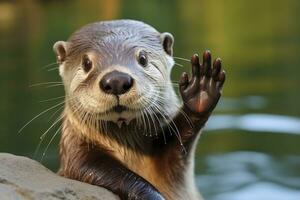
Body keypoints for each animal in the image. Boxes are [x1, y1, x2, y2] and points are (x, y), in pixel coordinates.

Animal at [53, 19, 225, 200]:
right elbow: (101, 171)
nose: (116, 80)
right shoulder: (75, 154)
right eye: (86, 63)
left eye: (143, 58)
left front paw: (201, 93)